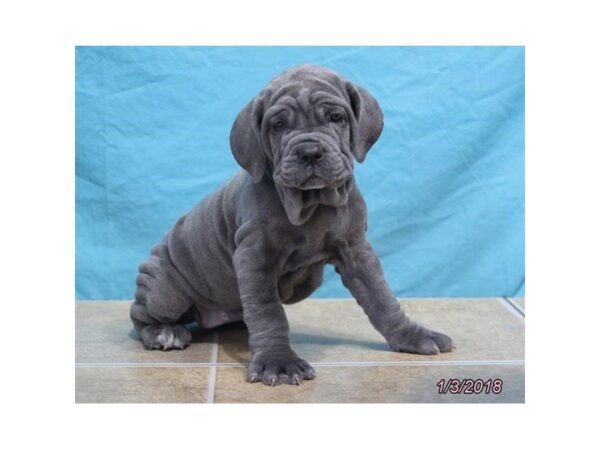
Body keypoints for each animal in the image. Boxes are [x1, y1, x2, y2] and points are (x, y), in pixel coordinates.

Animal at [129, 64, 452, 386]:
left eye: (336, 117)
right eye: (278, 125)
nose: (309, 152)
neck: (313, 203)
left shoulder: (357, 250)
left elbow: (382, 298)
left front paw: (411, 335)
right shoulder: (254, 257)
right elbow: (269, 312)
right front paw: (279, 361)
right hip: (166, 291)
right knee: (140, 313)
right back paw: (164, 332)